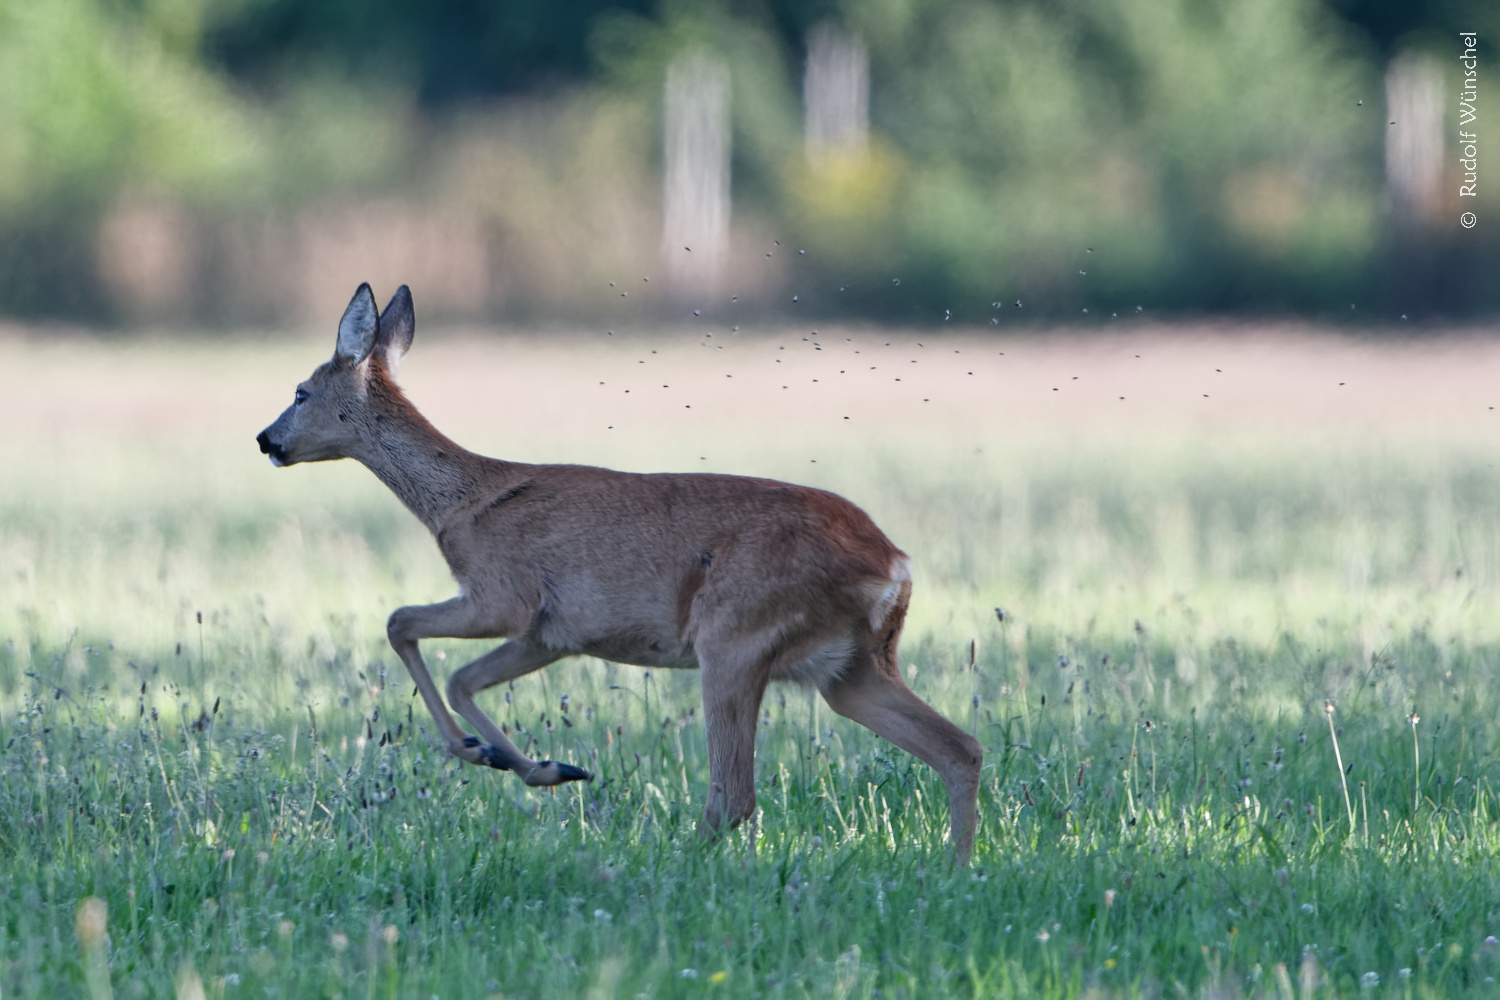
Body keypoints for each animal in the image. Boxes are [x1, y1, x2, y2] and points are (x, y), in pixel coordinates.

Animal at [258, 283, 984, 863]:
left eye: (300, 391)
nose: (266, 440)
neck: (460, 504)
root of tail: (894, 563)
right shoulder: (554, 633)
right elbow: (462, 676)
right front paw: (530, 763)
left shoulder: (504, 596)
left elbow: (402, 625)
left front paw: (509, 759)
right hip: (851, 668)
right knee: (960, 748)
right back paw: (954, 868)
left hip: (736, 638)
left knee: (734, 794)